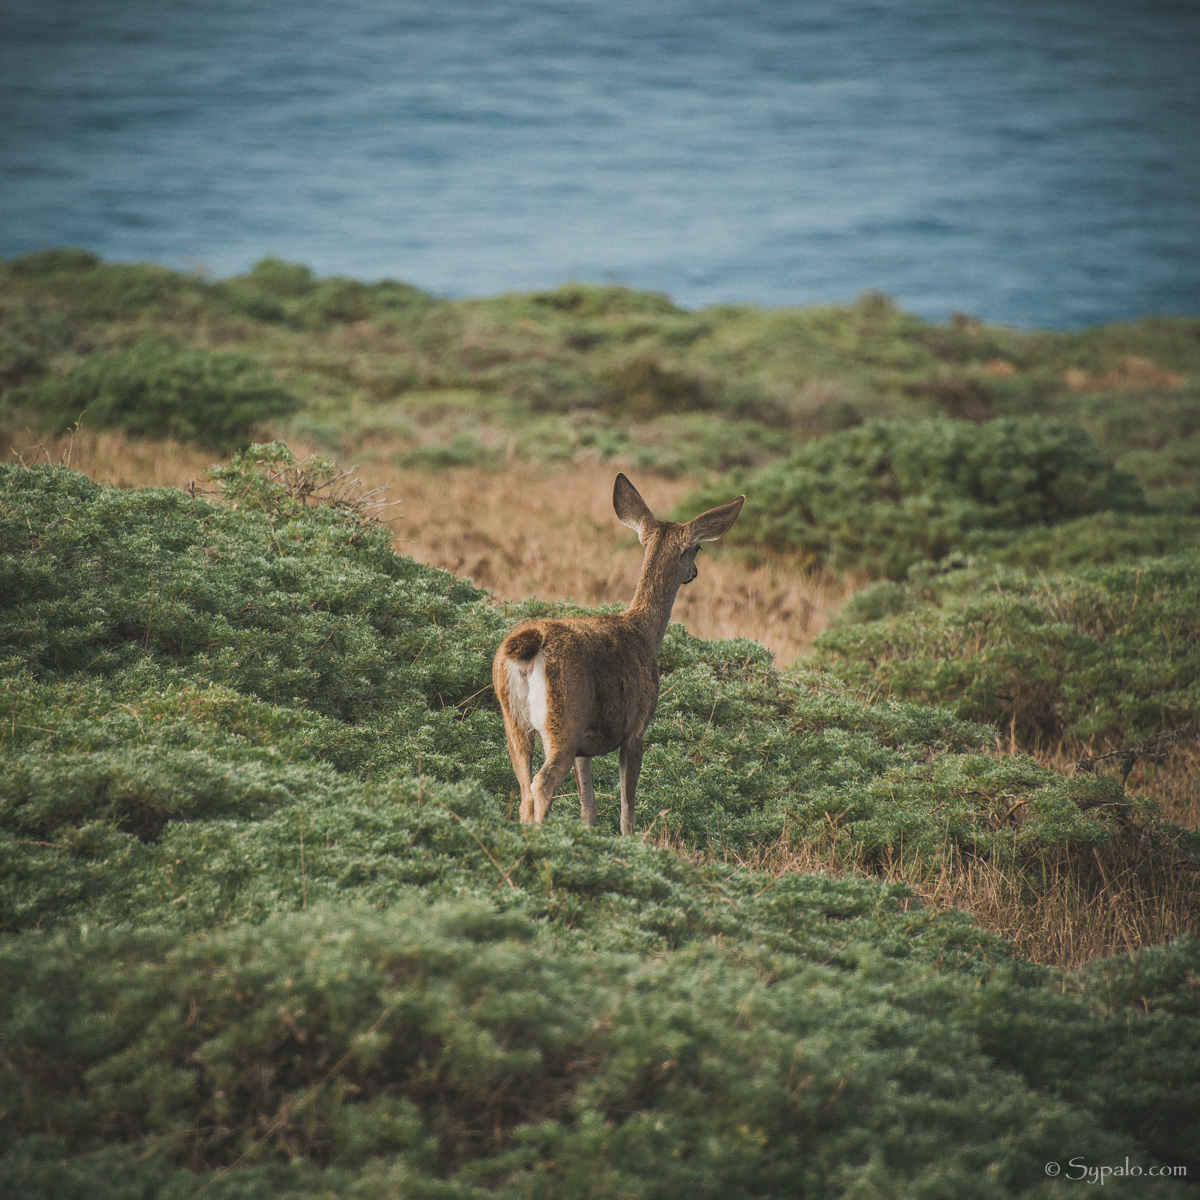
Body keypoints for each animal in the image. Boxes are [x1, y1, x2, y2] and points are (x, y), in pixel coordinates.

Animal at [489, 468, 739, 835]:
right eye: (697, 548)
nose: (694, 573)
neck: (645, 633)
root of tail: (528, 646)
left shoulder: (585, 747)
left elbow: (588, 808)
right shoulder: (636, 729)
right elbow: (626, 810)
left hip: (514, 719)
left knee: (523, 787)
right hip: (564, 717)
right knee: (542, 783)